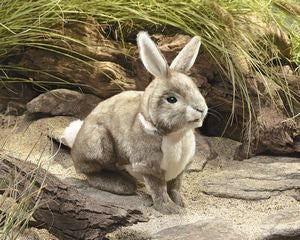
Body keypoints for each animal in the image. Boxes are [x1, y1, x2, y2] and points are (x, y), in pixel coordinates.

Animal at [62, 31, 209, 214]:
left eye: (196, 89)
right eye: (171, 99)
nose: (201, 109)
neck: (176, 135)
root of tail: (75, 142)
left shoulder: (179, 170)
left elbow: (175, 188)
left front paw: (181, 204)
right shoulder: (149, 167)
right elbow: (159, 190)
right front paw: (170, 209)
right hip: (100, 144)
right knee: (91, 173)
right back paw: (122, 185)